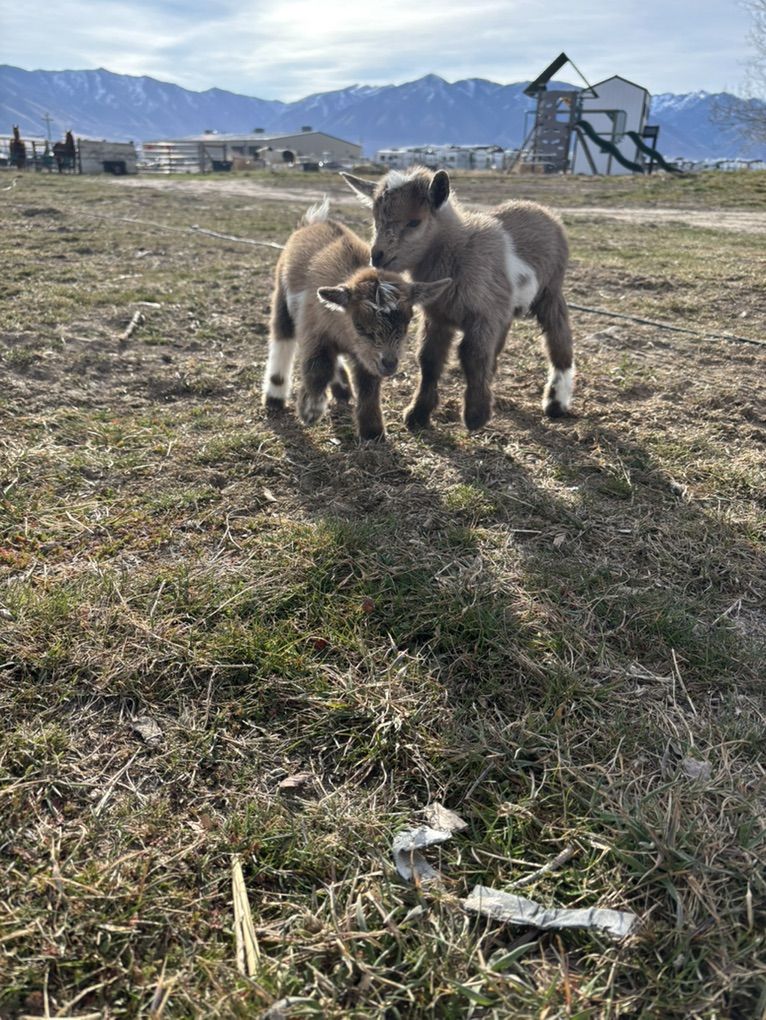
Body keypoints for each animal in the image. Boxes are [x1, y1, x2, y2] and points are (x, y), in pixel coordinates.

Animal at [263, 197, 450, 440]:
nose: (390, 364)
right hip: (282, 297)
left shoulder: (367, 355)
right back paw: (275, 398)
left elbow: (368, 383)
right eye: (360, 327)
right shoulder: (314, 330)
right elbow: (318, 367)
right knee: (282, 338)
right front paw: (310, 411)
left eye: (406, 325)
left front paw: (372, 431)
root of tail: (313, 222)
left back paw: (342, 390)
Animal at [341, 167, 574, 431]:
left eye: (414, 222)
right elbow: (429, 360)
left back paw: (556, 402)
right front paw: (418, 414)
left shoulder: (482, 314)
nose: (377, 256)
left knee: (558, 338)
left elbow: (473, 356)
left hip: (550, 290)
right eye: (376, 220)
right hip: (506, 307)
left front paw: (475, 415)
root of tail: (543, 210)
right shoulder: (439, 315)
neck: (460, 249)